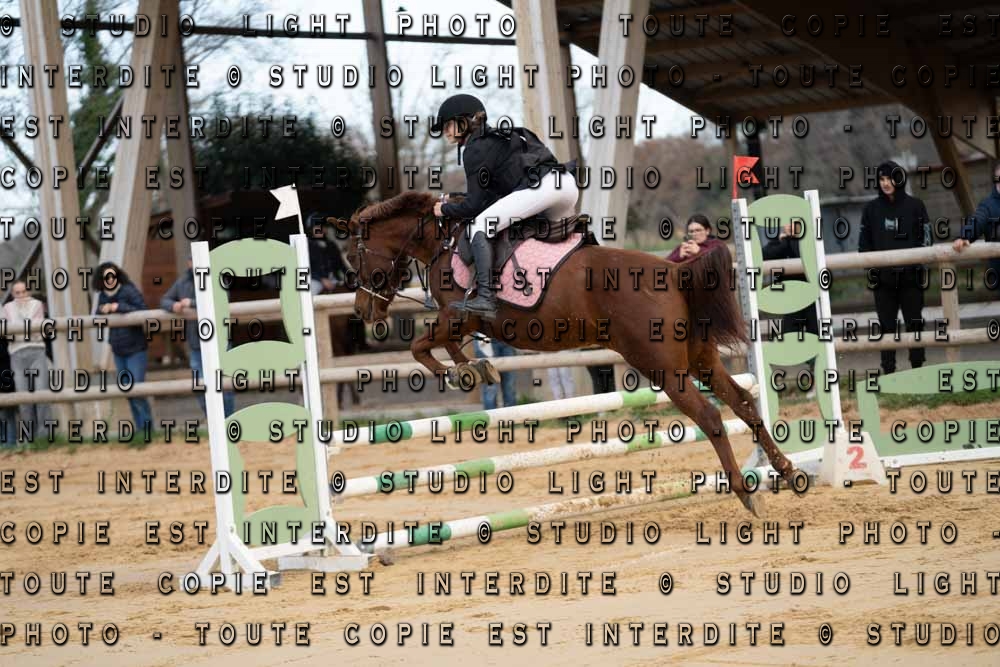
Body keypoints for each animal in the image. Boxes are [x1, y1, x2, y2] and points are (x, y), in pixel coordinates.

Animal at [343, 191, 802, 516]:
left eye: (354, 257)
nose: (363, 312)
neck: (443, 242)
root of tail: (674, 271)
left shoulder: (461, 315)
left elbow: (420, 346)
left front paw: (462, 373)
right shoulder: (460, 321)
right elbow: (447, 347)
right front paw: (476, 369)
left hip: (664, 369)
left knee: (710, 417)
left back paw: (745, 493)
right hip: (702, 359)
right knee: (743, 402)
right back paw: (788, 471)